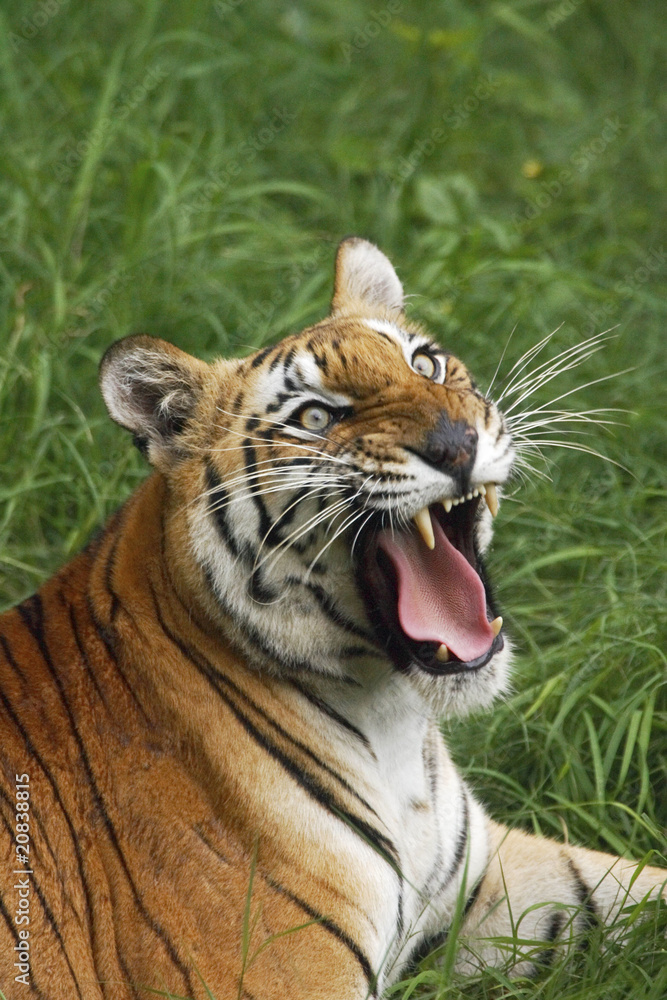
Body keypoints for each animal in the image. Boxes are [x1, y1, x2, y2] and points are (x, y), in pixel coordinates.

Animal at [0, 237, 664, 1000]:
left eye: (425, 364)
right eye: (317, 418)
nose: (455, 443)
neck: (394, 721)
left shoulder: (483, 885)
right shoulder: (281, 974)